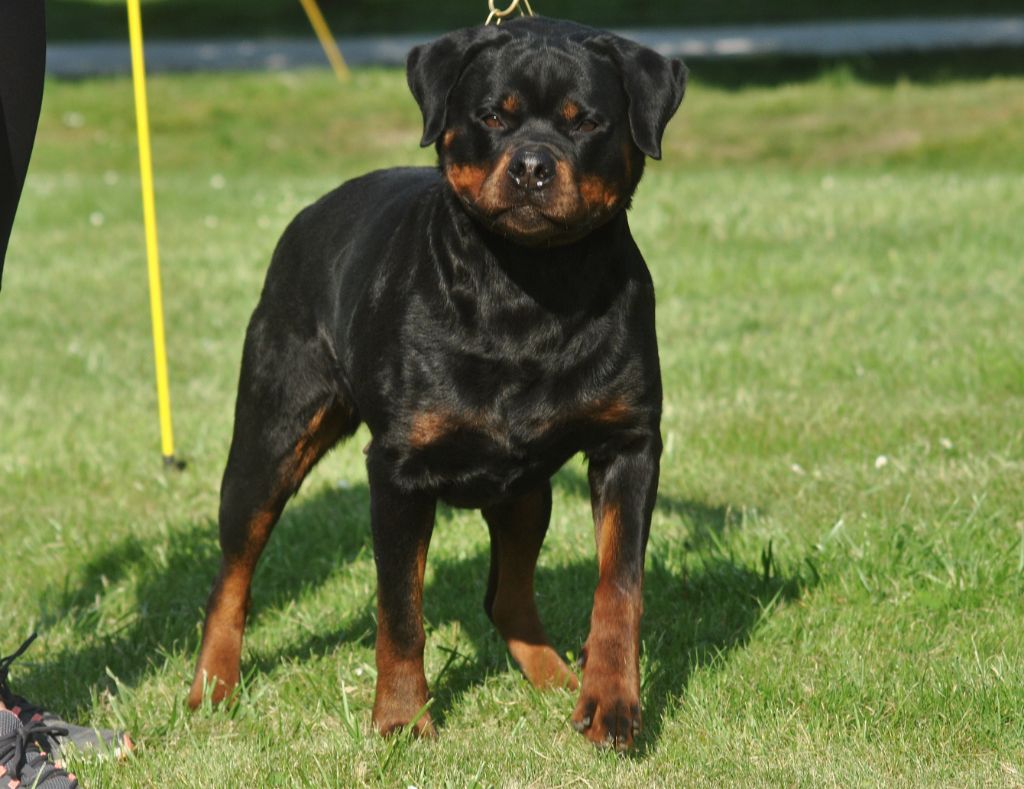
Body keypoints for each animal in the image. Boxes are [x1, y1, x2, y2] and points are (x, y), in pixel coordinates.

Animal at [187, 16, 686, 751]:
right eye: (492, 116)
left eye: (586, 121)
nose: (532, 166)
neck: (529, 290)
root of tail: (309, 214)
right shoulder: (399, 468)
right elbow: (400, 611)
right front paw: (401, 718)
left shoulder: (628, 442)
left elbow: (618, 587)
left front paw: (611, 703)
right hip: (271, 434)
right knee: (233, 571)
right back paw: (213, 686)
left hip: (526, 489)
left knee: (505, 595)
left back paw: (556, 678)